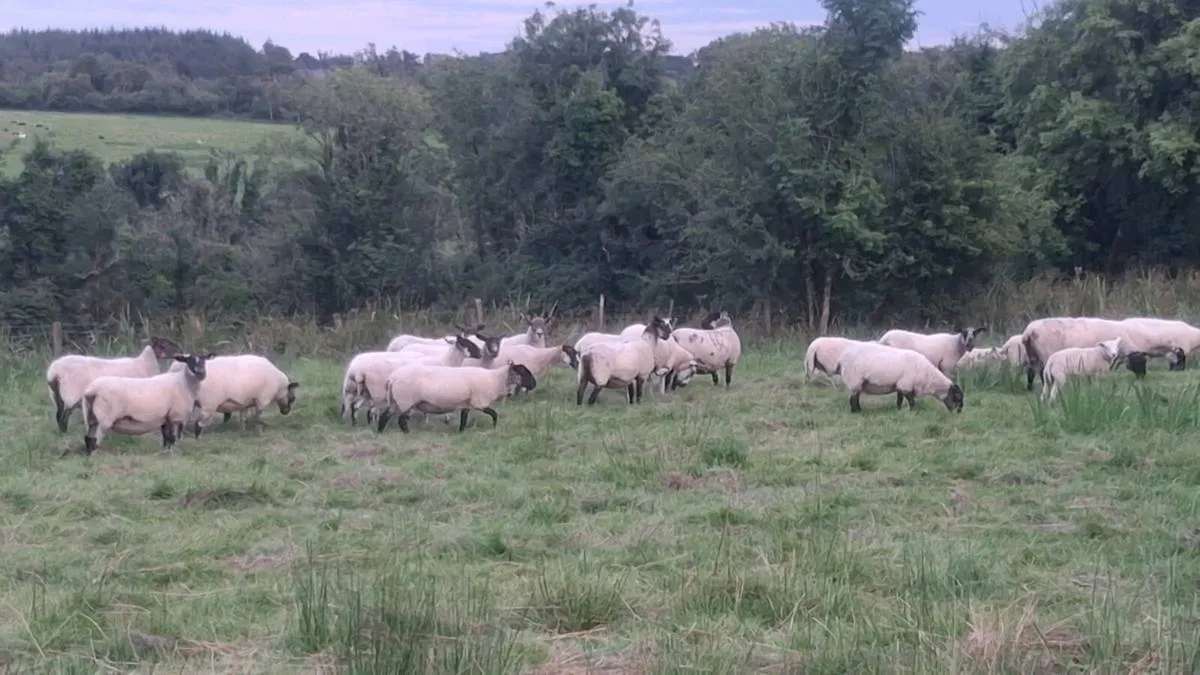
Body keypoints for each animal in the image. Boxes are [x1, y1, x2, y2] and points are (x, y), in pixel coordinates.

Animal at [45, 336, 181, 433]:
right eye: (164, 344)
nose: (180, 350)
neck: (143, 364)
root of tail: (54, 372)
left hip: (56, 396)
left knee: (59, 416)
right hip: (70, 394)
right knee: (63, 416)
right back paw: (64, 433)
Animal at [76, 352, 215, 456]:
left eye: (204, 360)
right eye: (189, 360)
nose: (201, 373)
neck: (184, 382)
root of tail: (91, 390)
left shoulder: (165, 417)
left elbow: (166, 437)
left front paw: (164, 452)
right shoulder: (174, 415)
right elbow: (172, 438)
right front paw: (171, 454)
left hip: (91, 416)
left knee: (87, 437)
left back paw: (89, 455)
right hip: (105, 417)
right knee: (95, 438)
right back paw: (95, 455)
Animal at [168, 355, 299, 437]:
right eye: (292, 398)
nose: (286, 412)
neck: (278, 384)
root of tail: (177, 367)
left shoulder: (246, 402)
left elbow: (243, 418)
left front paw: (243, 431)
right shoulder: (263, 399)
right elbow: (257, 417)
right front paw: (259, 430)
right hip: (209, 404)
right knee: (198, 424)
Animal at [377, 361, 538, 433]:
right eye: (523, 372)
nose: (534, 384)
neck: (495, 379)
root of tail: (391, 378)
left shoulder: (467, 404)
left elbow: (464, 418)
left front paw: (461, 431)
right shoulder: (479, 402)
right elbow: (494, 413)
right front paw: (494, 426)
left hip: (397, 401)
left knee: (385, 416)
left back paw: (380, 431)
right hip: (405, 400)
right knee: (400, 419)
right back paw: (407, 432)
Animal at [833, 342, 965, 413]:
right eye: (957, 397)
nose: (959, 412)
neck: (927, 377)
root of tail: (841, 358)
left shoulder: (900, 385)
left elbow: (899, 400)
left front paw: (899, 410)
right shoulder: (906, 385)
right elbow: (912, 401)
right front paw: (912, 412)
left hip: (859, 382)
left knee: (855, 397)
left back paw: (859, 410)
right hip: (854, 379)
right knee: (853, 399)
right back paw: (856, 412)